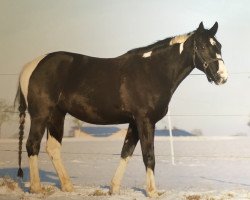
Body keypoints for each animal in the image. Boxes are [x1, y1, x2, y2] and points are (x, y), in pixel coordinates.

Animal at [15, 21, 227, 197]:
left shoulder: (134, 122)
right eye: (203, 46)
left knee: (53, 148)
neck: (153, 71)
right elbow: (148, 156)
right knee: (32, 145)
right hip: (41, 115)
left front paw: (114, 188)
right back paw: (36, 188)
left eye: (219, 46)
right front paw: (152, 192)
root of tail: (31, 66)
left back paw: (67, 187)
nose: (222, 77)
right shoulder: (145, 121)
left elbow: (126, 152)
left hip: (57, 115)